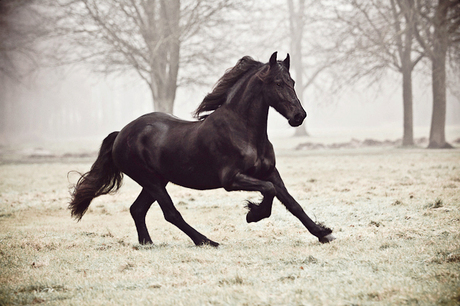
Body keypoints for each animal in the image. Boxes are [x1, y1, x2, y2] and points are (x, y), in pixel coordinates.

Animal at [69, 52, 334, 247]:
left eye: (293, 82)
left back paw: (148, 243)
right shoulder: (232, 179)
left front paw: (323, 233)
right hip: (150, 180)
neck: (243, 131)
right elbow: (269, 191)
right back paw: (207, 241)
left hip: (157, 180)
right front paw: (253, 214)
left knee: (138, 209)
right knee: (170, 213)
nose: (299, 116)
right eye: (278, 83)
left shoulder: (270, 172)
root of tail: (121, 134)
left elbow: (291, 202)